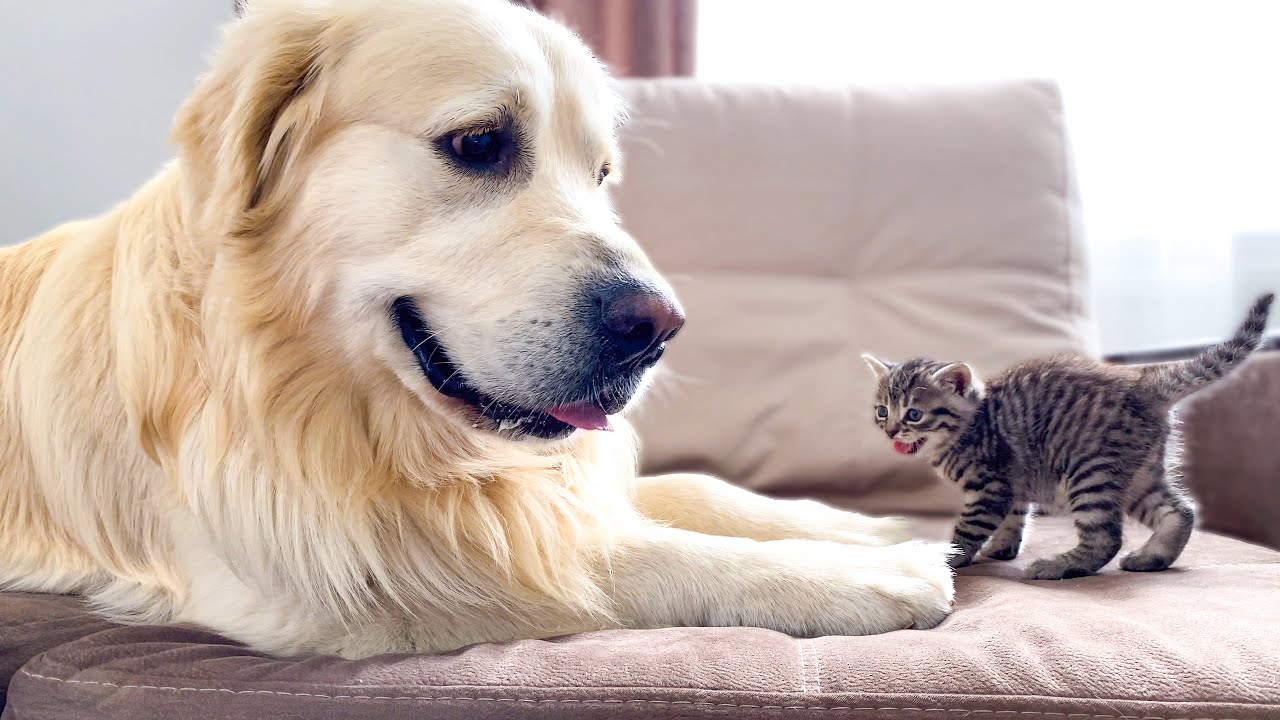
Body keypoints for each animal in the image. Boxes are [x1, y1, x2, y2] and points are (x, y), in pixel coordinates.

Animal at [860, 292, 1269, 576]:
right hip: (1140, 473)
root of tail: (1142, 382)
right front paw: (1003, 547)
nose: (891, 430)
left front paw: (949, 558)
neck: (972, 425)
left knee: (1106, 537)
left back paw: (1061, 566)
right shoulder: (1014, 483)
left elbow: (969, 529)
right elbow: (1014, 517)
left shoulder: (991, 485)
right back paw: (1153, 556)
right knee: (1179, 511)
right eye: (882, 411)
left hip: (1091, 471)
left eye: (914, 414)